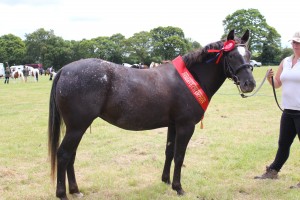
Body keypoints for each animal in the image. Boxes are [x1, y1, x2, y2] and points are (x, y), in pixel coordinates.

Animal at [48, 30, 255, 200]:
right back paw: (62, 194)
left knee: (71, 155)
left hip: (77, 128)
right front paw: (178, 187)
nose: (249, 84)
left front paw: (166, 181)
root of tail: (64, 70)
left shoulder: (173, 125)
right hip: (77, 127)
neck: (190, 79)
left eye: (249, 55)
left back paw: (75, 190)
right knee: (64, 154)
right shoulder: (186, 125)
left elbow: (169, 152)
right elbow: (180, 155)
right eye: (231, 55)